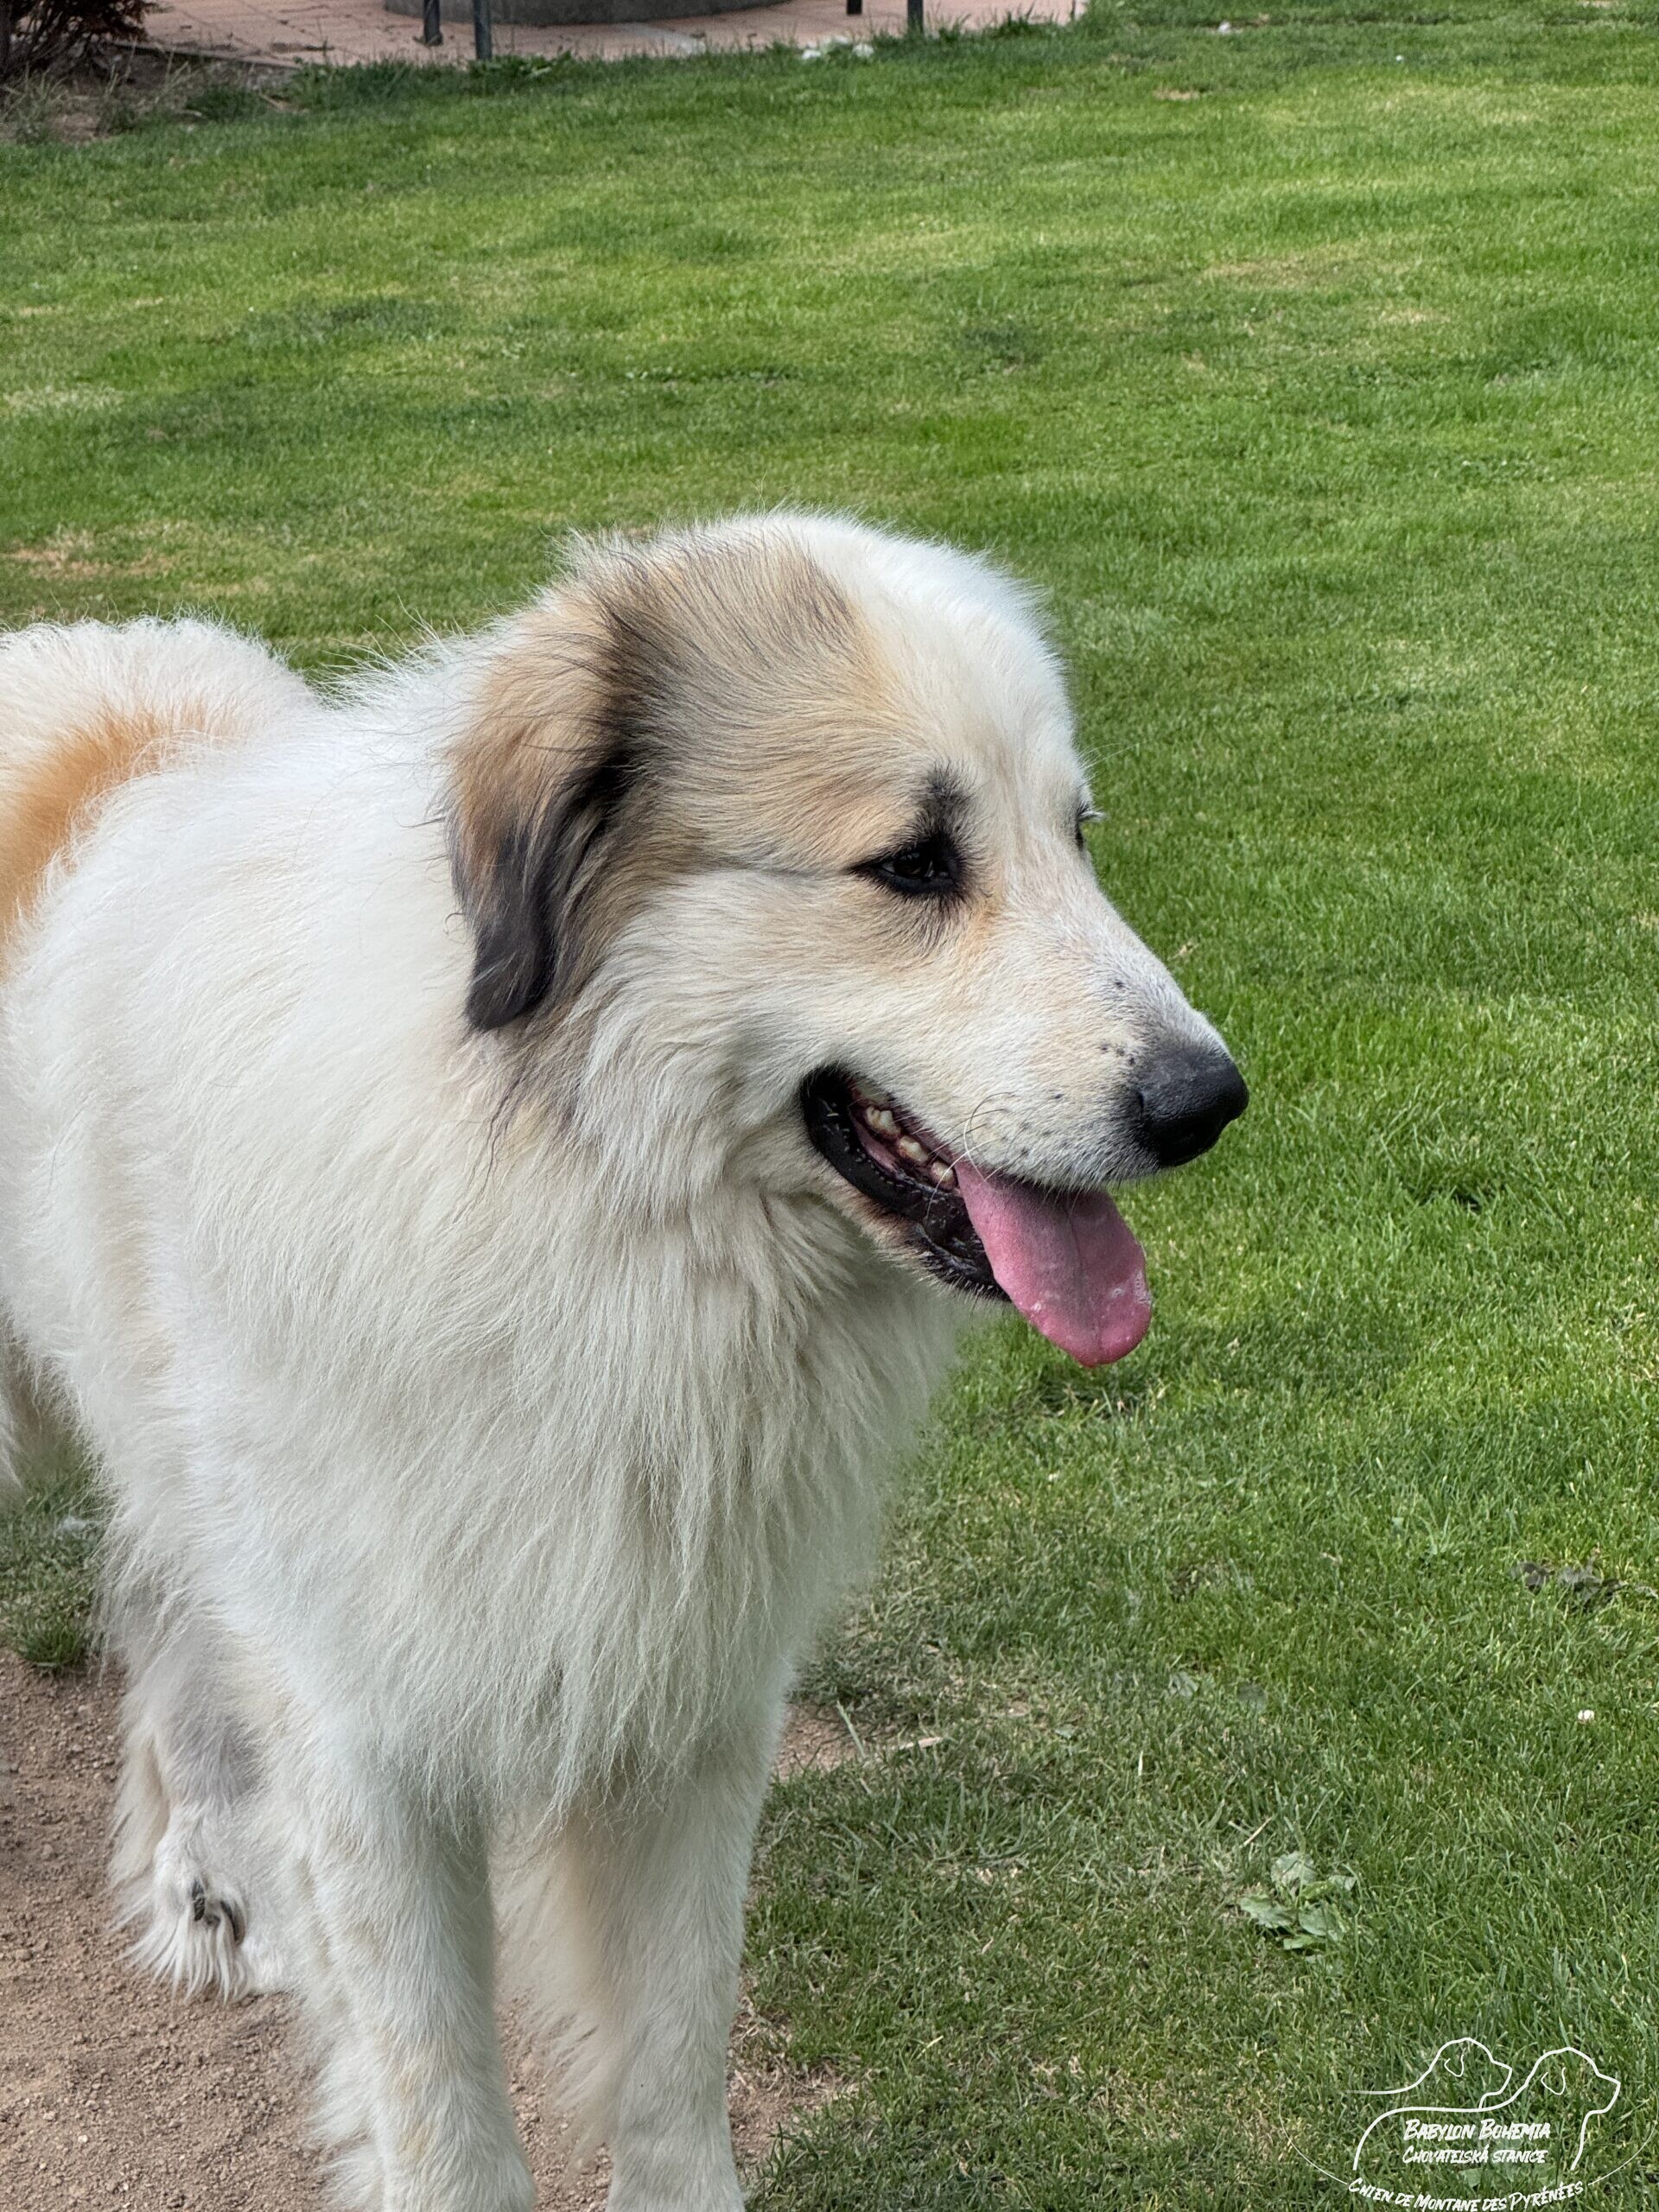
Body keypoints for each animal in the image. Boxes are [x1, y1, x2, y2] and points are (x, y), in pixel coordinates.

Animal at [0, 515, 1245, 2211]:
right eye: (915, 863)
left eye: (1078, 834)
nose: (1209, 1101)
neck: (583, 1193)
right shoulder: (368, 1747)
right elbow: (445, 2122)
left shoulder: (693, 1705)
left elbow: (671, 2063)